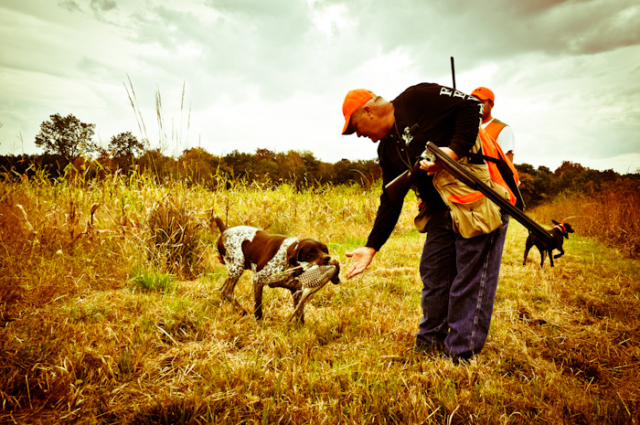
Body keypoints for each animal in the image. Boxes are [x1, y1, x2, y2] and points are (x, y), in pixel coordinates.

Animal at [212, 217, 340, 320]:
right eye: (310, 254)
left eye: (324, 250)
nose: (328, 258)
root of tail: (225, 231)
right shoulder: (258, 279)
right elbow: (258, 306)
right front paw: (258, 322)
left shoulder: (296, 291)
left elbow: (299, 313)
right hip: (237, 267)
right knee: (227, 291)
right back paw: (242, 311)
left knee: (222, 291)